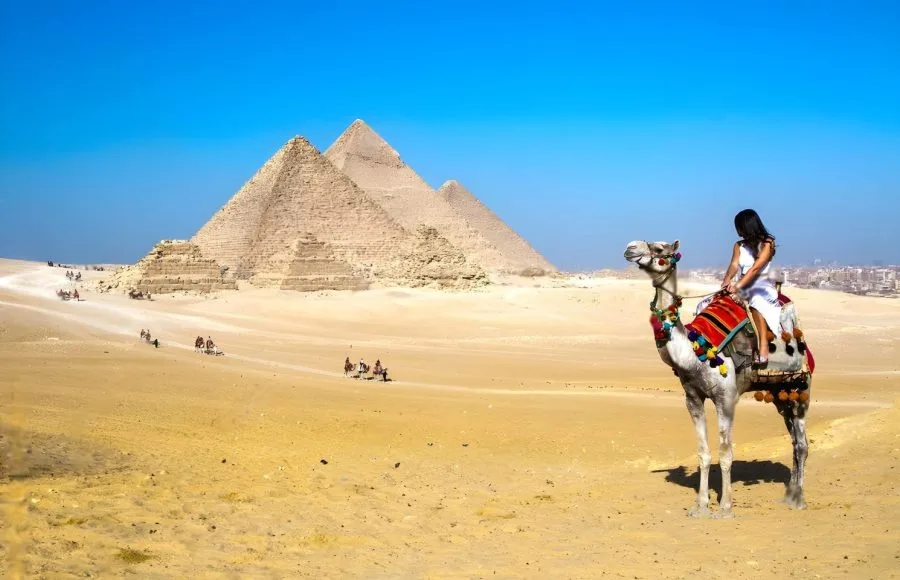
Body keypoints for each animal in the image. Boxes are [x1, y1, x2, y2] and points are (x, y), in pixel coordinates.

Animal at [624, 239, 809, 517]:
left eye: (659, 248)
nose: (630, 247)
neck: (695, 354)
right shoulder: (693, 399)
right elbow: (704, 453)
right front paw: (700, 506)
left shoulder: (726, 398)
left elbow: (725, 453)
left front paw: (725, 507)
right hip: (780, 393)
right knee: (795, 440)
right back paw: (789, 496)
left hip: (800, 386)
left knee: (802, 443)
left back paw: (798, 499)